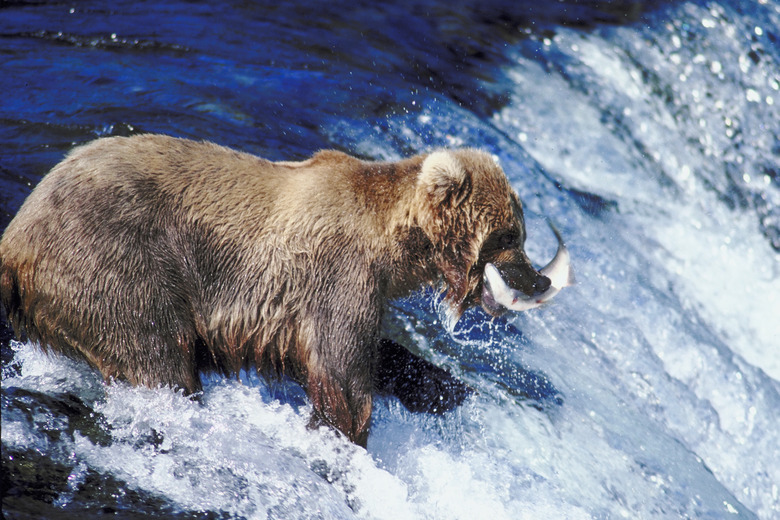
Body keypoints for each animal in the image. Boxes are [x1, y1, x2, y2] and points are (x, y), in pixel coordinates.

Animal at [3, 135, 556, 446]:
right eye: (511, 235)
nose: (541, 278)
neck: (393, 245)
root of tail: (15, 236)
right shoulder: (337, 276)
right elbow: (342, 375)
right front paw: (347, 437)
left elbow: (376, 355)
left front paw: (446, 387)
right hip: (114, 261)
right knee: (155, 355)